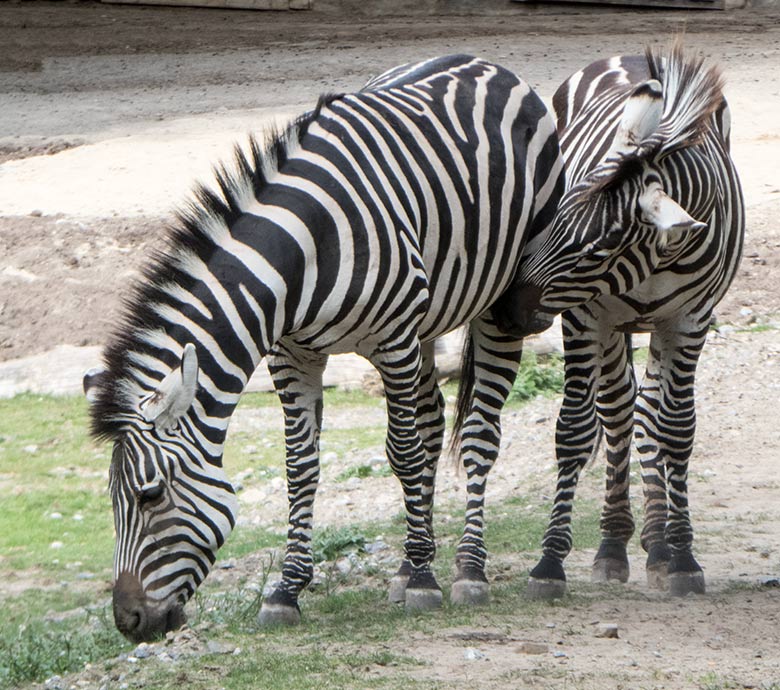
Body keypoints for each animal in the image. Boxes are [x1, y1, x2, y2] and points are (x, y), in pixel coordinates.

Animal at [82, 56, 564, 644]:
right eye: (113, 500)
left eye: (149, 496)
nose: (128, 623)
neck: (301, 254)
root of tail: (483, 62)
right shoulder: (292, 354)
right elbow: (302, 466)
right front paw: (288, 589)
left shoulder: (393, 339)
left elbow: (402, 454)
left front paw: (426, 581)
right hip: (430, 319)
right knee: (431, 422)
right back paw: (408, 563)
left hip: (502, 303)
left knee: (477, 434)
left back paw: (468, 569)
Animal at [500, 44, 744, 596]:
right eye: (553, 215)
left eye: (600, 249)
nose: (505, 310)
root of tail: (628, 55)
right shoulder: (585, 317)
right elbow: (573, 429)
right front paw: (549, 562)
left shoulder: (690, 320)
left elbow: (676, 430)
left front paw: (682, 557)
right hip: (611, 327)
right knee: (618, 412)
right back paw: (614, 544)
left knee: (651, 414)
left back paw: (658, 542)